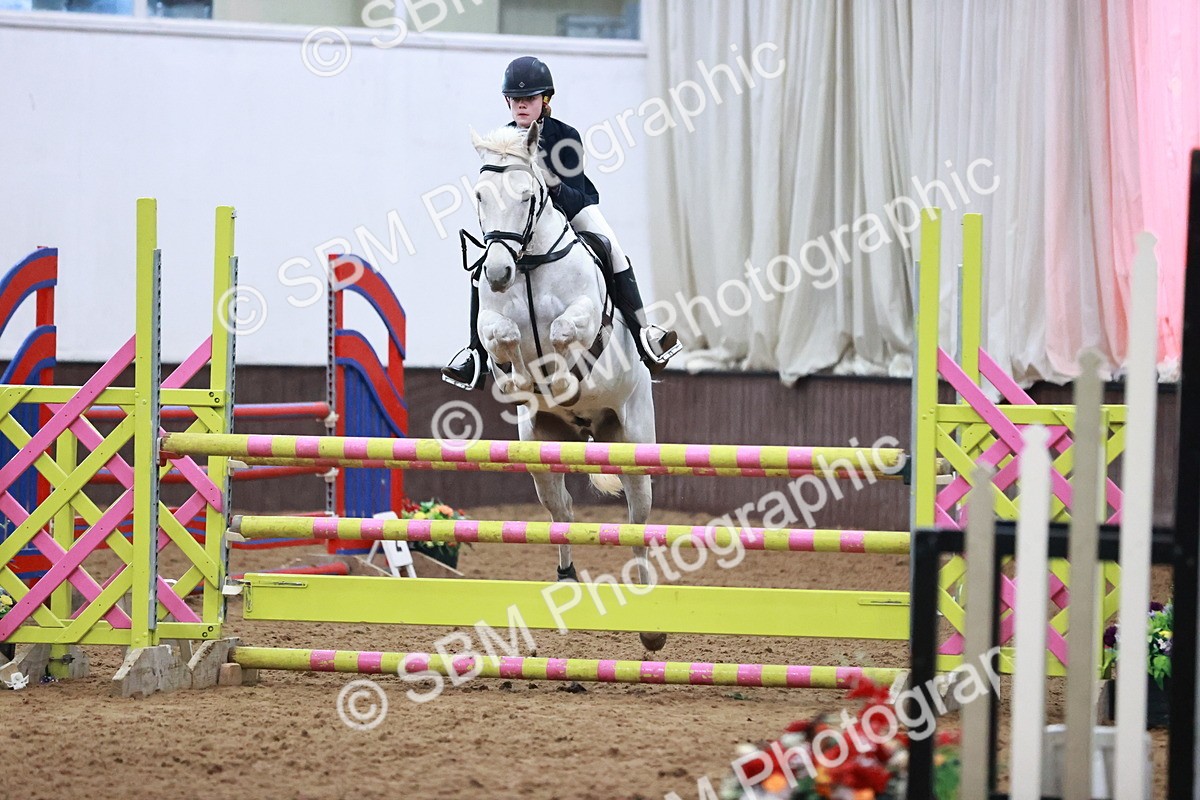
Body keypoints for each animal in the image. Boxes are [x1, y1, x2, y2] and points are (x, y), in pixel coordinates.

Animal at [467, 122, 666, 651]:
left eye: (528, 195)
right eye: (480, 194)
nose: (496, 273)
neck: (529, 264)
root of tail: (590, 433)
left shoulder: (581, 315)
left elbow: (560, 333)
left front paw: (558, 377)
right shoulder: (493, 321)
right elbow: (504, 336)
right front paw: (521, 378)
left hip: (633, 440)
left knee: (637, 521)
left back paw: (649, 618)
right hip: (541, 450)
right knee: (562, 513)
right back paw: (567, 579)